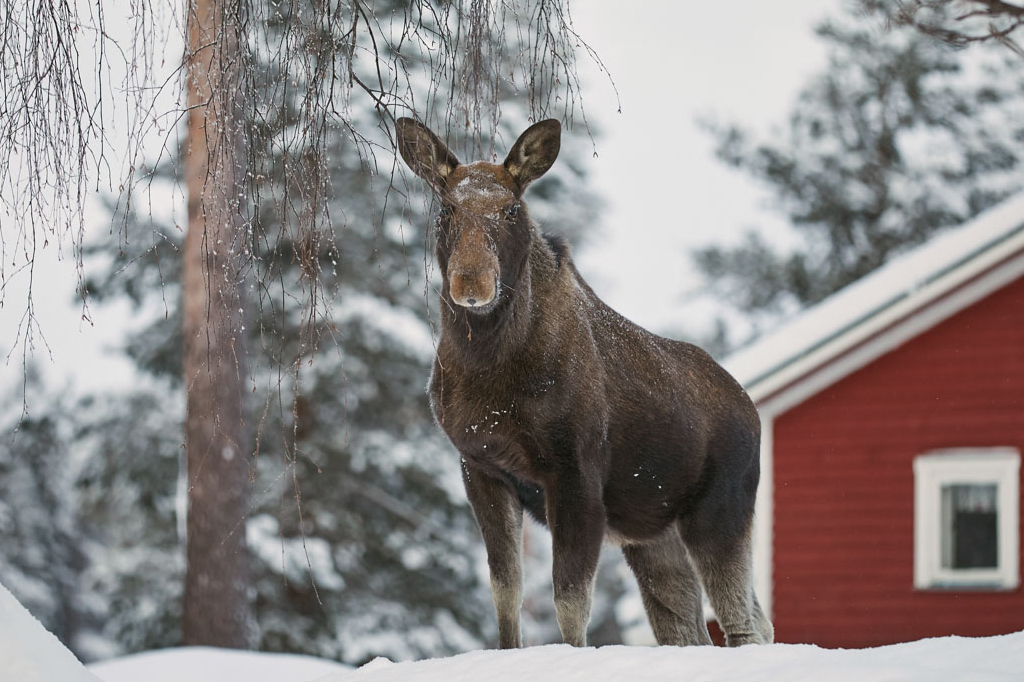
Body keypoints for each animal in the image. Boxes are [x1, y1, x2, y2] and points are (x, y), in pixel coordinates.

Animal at [395, 117, 774, 649]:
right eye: (446, 208)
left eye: (512, 208)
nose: (472, 282)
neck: (488, 370)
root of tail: (752, 409)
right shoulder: (480, 466)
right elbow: (506, 589)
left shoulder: (575, 470)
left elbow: (571, 602)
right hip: (652, 534)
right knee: (695, 627)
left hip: (721, 509)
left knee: (744, 622)